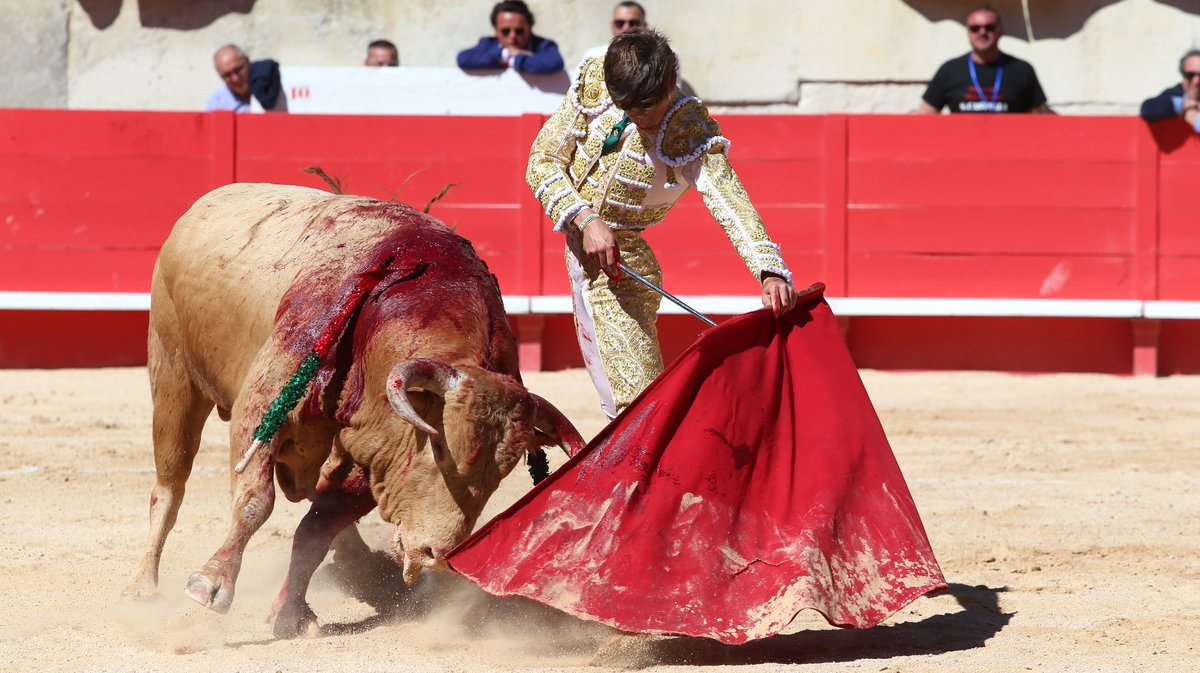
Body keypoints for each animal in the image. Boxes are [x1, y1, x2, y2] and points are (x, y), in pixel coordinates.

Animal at [121, 182, 580, 633]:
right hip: (174, 376)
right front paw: (212, 582)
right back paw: (142, 586)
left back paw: (361, 570)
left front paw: (292, 613)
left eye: (501, 475)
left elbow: (316, 529)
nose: (436, 555)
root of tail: (203, 204)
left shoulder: (376, 455)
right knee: (170, 485)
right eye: (439, 450)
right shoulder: (265, 399)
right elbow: (255, 500)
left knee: (315, 496)